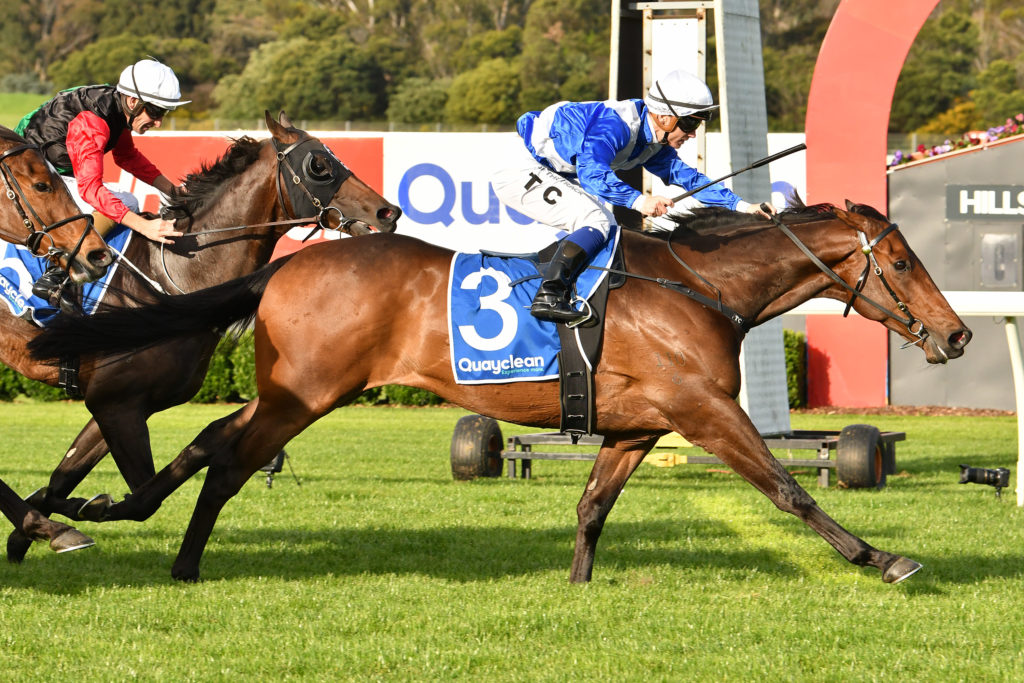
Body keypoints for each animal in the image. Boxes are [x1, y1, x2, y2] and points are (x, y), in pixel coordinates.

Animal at [28, 200, 972, 582]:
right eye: (899, 260)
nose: (958, 333)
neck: (699, 286)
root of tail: (288, 262)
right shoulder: (704, 410)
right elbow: (787, 489)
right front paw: (883, 557)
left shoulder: (639, 424)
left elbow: (592, 504)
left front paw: (579, 582)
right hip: (309, 392)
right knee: (228, 458)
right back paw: (174, 556)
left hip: (293, 388)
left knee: (211, 437)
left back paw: (101, 508)